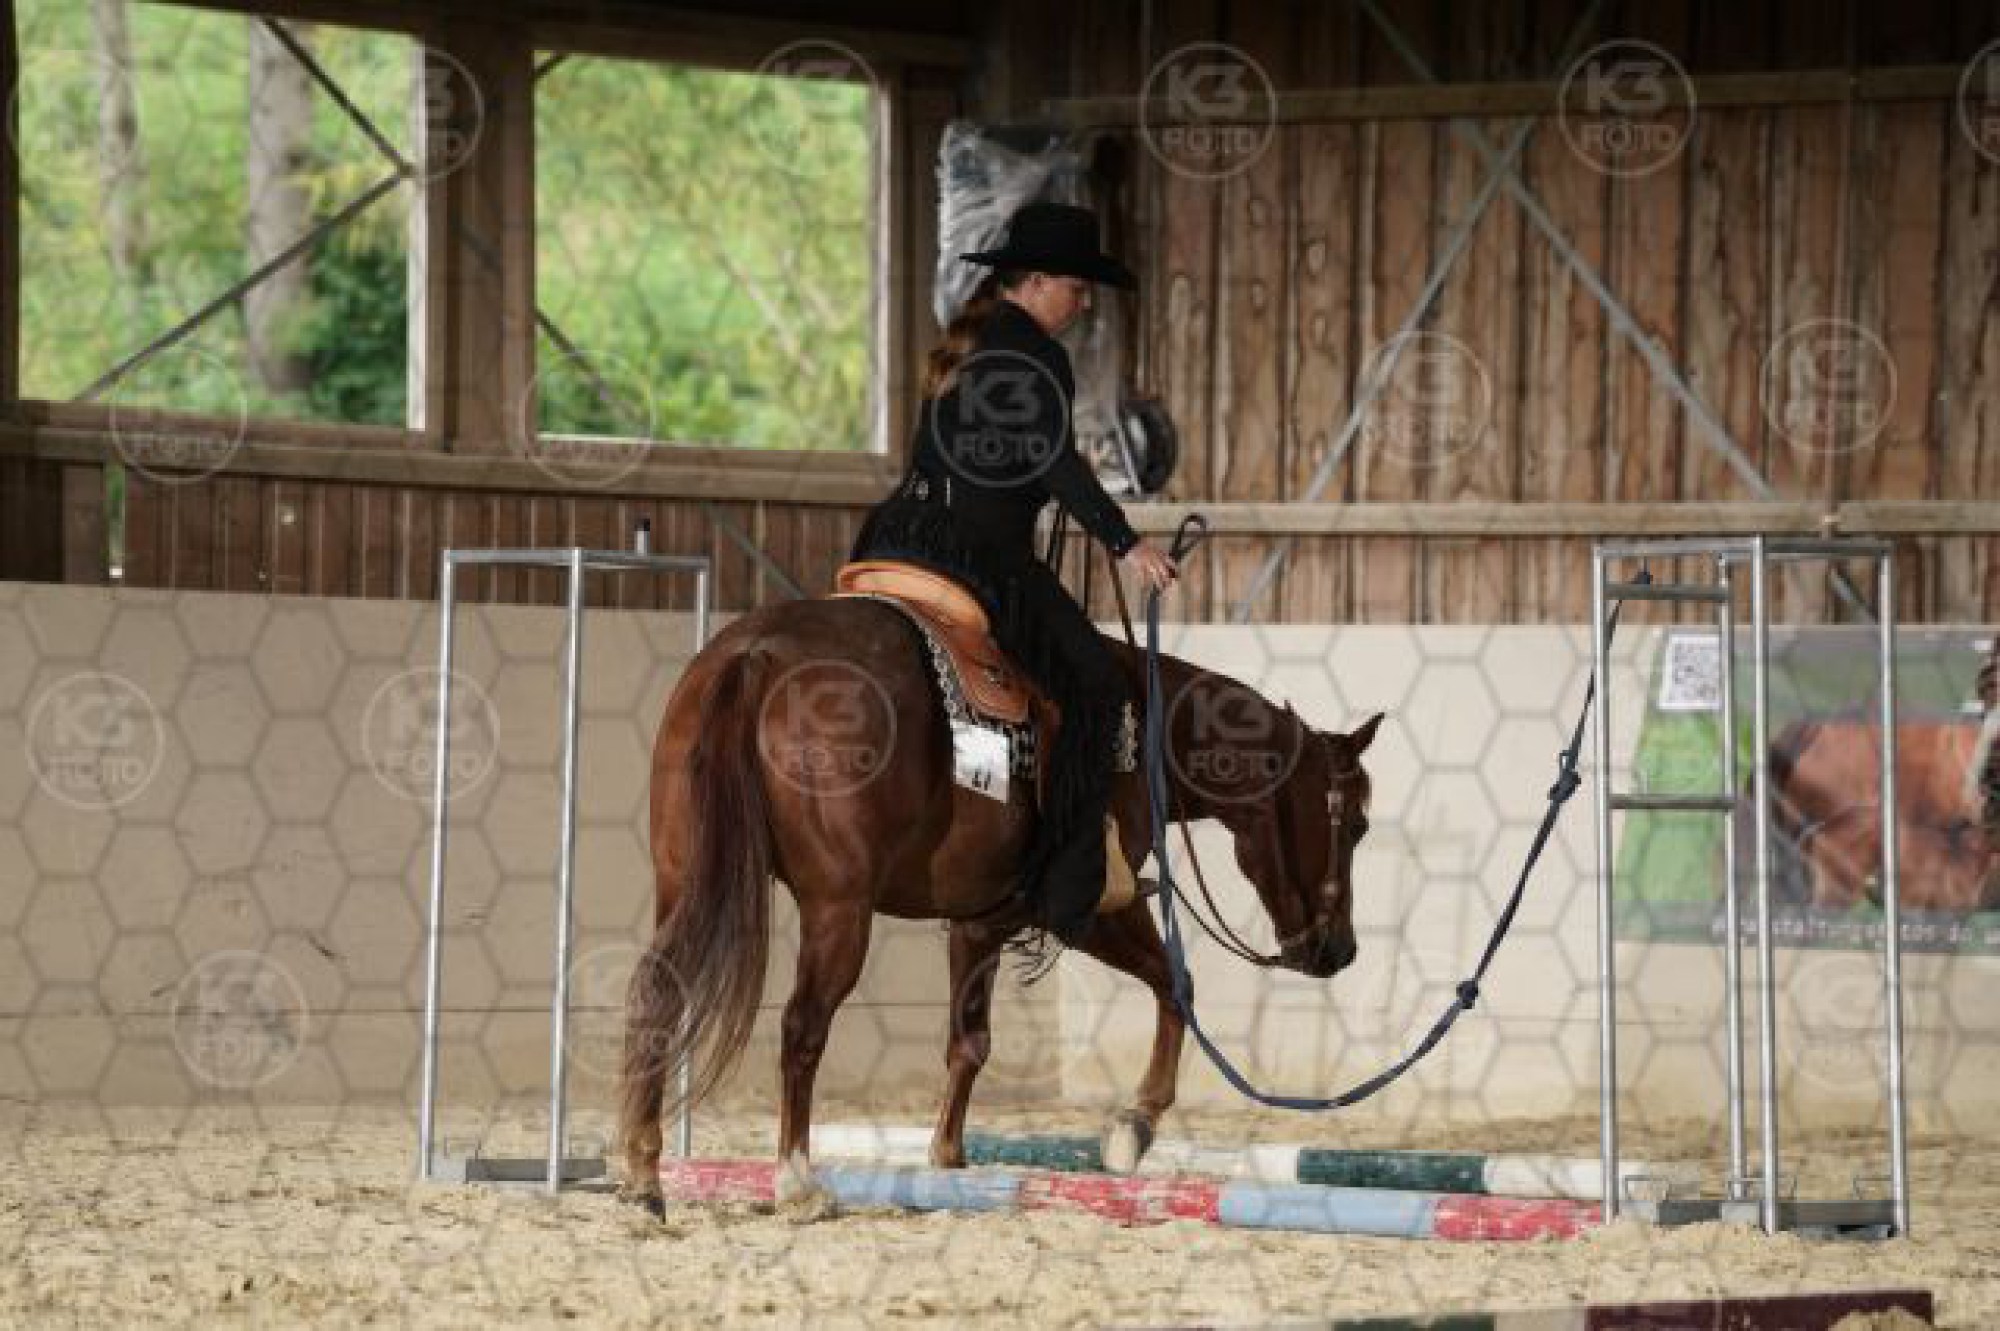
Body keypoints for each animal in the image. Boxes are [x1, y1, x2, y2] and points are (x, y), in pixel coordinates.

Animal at [616, 594, 1382, 1208]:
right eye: (1355, 825)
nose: (1340, 949)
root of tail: (757, 654)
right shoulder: (1091, 906)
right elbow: (1176, 981)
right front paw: (1134, 1125)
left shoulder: (980, 921)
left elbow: (970, 1040)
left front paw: (949, 1155)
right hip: (839, 909)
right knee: (803, 1024)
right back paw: (797, 1181)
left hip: (683, 880)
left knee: (659, 990)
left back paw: (642, 1171)